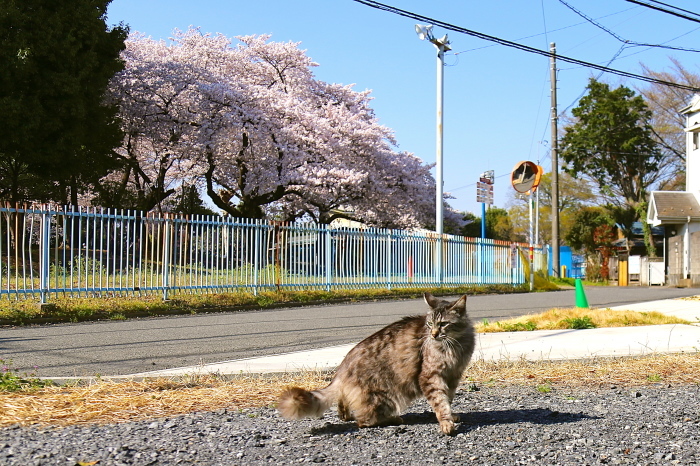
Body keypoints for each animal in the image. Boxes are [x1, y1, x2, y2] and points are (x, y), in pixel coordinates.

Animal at [278, 294, 476, 436]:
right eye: (429, 324)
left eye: (443, 324)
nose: (433, 334)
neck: (456, 345)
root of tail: (342, 367)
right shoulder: (431, 375)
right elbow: (440, 401)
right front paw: (446, 421)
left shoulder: (453, 375)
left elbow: (448, 398)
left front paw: (451, 415)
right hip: (385, 396)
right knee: (363, 421)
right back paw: (393, 419)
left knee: (345, 408)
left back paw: (348, 414)